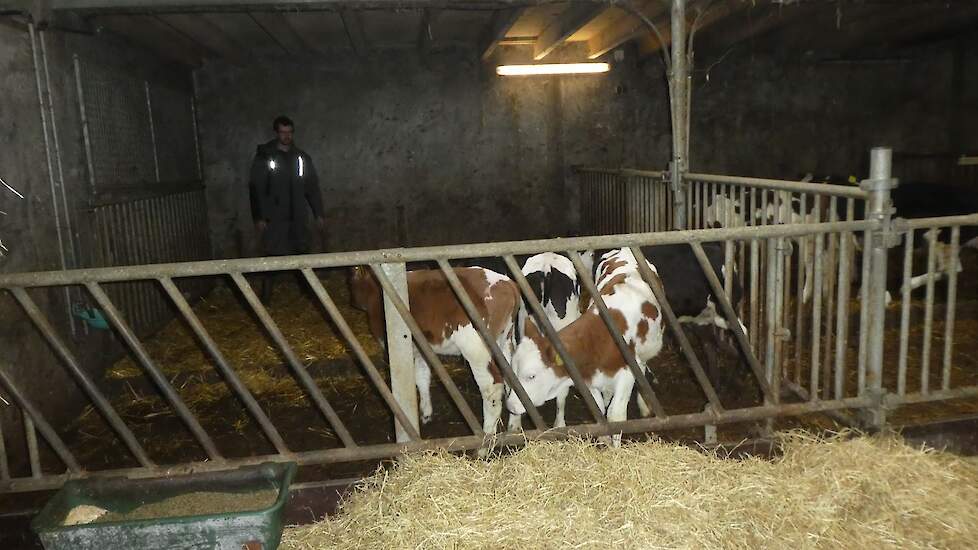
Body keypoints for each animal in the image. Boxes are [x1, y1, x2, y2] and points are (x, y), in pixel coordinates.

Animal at [348, 268, 524, 440]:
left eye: (353, 275)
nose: (352, 301)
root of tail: (508, 284)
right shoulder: (420, 347)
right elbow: (422, 376)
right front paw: (425, 413)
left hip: (476, 347)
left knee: (491, 386)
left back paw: (486, 437)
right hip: (505, 341)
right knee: (513, 378)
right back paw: (514, 427)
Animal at [504, 248, 664, 446]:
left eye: (531, 376)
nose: (510, 406)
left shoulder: (627, 373)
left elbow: (616, 415)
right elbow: (598, 407)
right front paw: (603, 437)